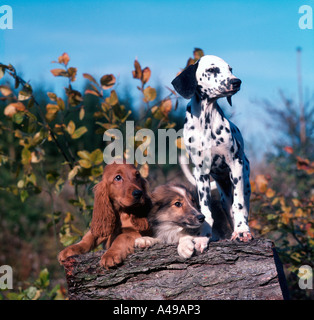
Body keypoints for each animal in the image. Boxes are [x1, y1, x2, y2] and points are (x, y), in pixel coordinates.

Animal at [172, 55, 253, 242]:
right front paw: (204, 234)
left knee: (241, 206)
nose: (236, 81)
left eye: (230, 69)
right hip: (223, 195)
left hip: (243, 182)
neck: (206, 121)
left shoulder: (235, 165)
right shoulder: (201, 173)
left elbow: (239, 205)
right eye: (212, 69)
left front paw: (242, 231)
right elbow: (205, 209)